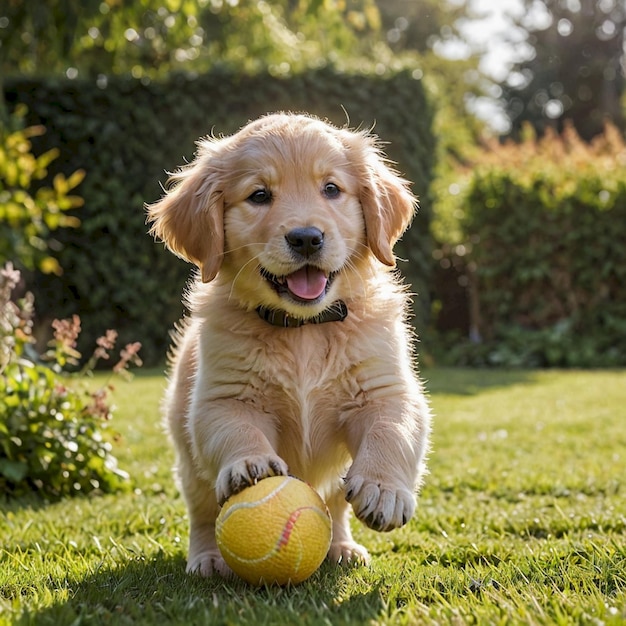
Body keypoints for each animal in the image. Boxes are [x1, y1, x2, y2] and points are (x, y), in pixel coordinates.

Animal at [146, 111, 428, 576]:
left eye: (331, 189)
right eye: (259, 195)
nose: (307, 238)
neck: (304, 329)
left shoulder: (385, 388)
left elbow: (392, 428)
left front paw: (384, 488)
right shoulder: (222, 397)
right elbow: (235, 427)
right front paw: (250, 462)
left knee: (334, 503)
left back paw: (341, 546)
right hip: (188, 458)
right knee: (202, 511)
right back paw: (207, 558)